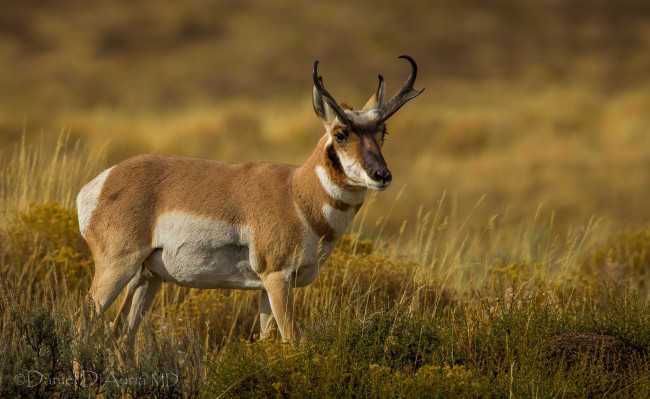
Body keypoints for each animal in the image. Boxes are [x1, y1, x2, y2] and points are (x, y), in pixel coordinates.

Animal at [76, 54, 422, 346]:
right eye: (341, 134)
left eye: (383, 132)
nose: (381, 175)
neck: (295, 193)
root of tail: (103, 181)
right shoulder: (278, 278)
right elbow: (293, 340)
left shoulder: (266, 289)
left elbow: (268, 340)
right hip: (117, 267)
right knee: (84, 325)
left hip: (148, 277)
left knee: (121, 334)